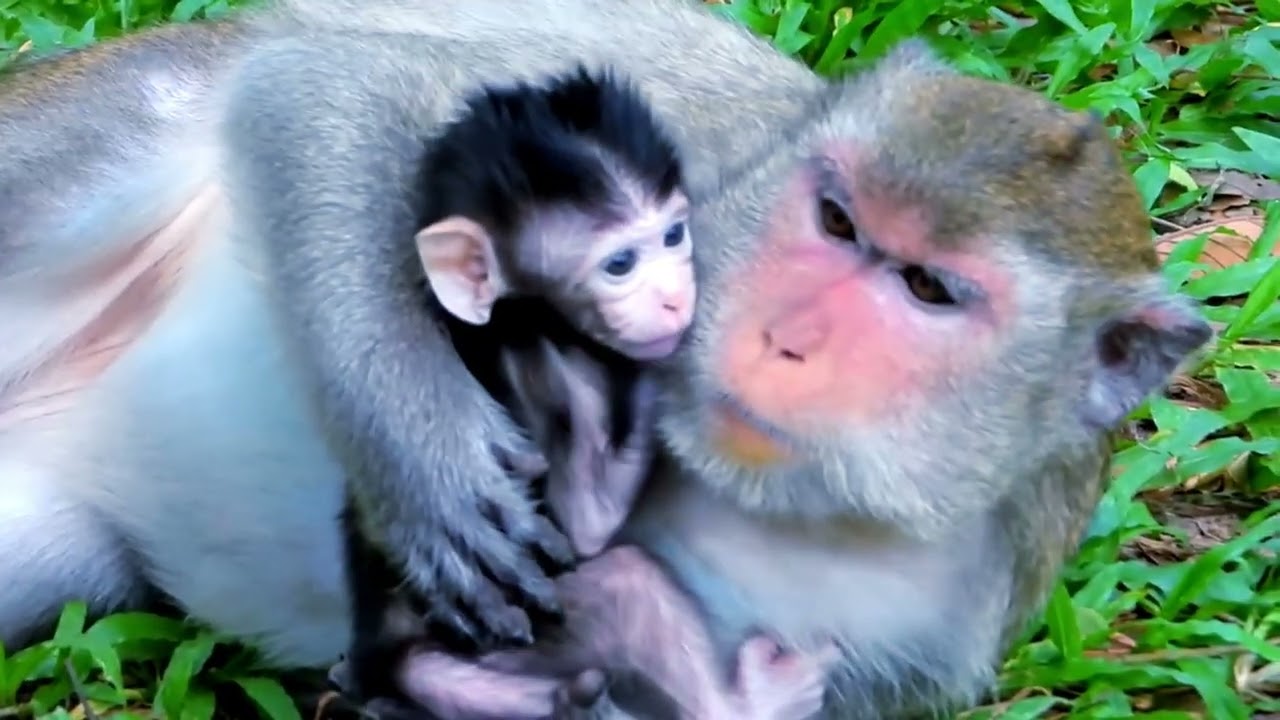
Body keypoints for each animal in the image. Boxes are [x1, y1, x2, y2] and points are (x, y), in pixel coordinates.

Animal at [0, 1, 1211, 717]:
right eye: (834, 219)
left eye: (928, 290)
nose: (778, 334)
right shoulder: (683, 139)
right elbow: (330, 87)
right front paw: (426, 458)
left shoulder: (933, 644)